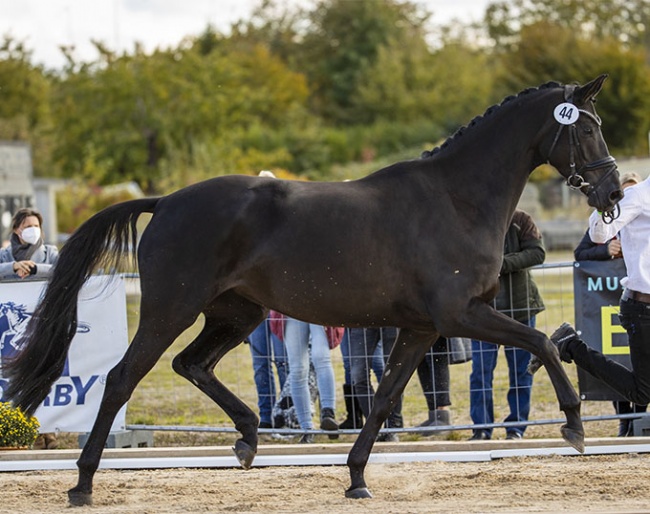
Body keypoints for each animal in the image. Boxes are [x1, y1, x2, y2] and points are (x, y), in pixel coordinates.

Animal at [5, 74, 620, 502]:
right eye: (588, 128)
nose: (613, 190)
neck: (455, 200)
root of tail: (168, 201)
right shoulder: (459, 316)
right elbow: (541, 344)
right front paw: (573, 426)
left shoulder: (422, 329)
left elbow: (383, 399)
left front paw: (356, 478)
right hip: (170, 309)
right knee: (122, 378)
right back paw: (83, 484)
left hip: (237, 315)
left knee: (191, 364)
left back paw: (248, 437)